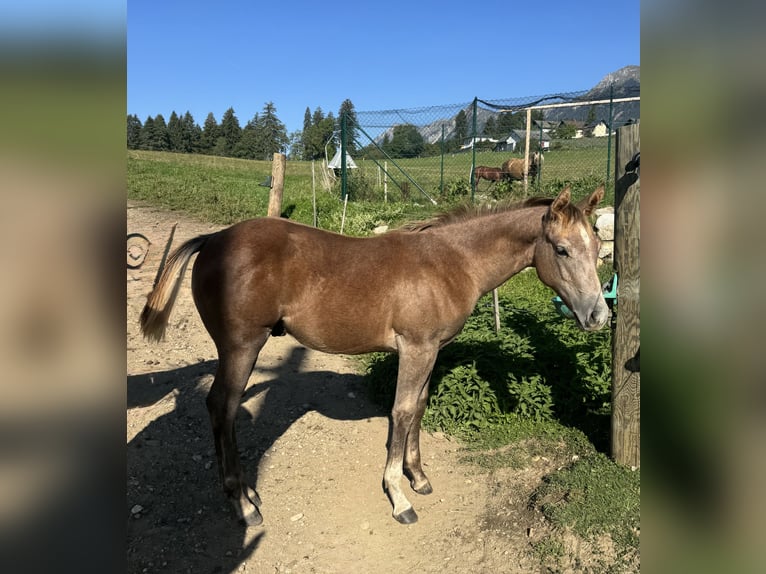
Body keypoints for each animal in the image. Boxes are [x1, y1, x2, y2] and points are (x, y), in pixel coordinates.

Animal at [140, 185, 609, 526]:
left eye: (597, 246)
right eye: (562, 249)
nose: (598, 316)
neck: (450, 262)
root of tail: (213, 239)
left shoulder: (432, 349)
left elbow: (419, 406)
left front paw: (418, 477)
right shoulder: (415, 347)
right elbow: (400, 411)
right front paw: (398, 495)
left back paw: (244, 492)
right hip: (242, 346)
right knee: (223, 406)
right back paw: (242, 503)